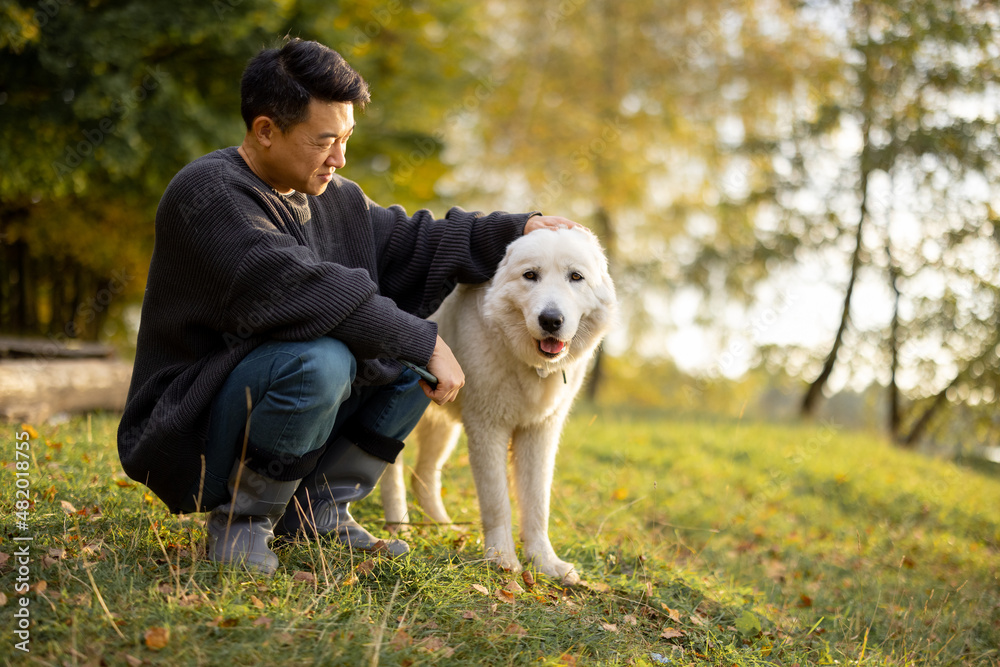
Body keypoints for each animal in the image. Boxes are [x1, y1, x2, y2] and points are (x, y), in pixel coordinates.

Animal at [382, 228, 616, 584]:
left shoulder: (539, 434)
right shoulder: (487, 428)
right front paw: (501, 559)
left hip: (442, 426)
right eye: (530, 275)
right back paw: (401, 528)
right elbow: (497, 502)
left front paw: (545, 563)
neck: (531, 366)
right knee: (392, 473)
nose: (551, 320)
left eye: (575, 277)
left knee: (423, 476)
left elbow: (537, 504)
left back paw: (442, 526)